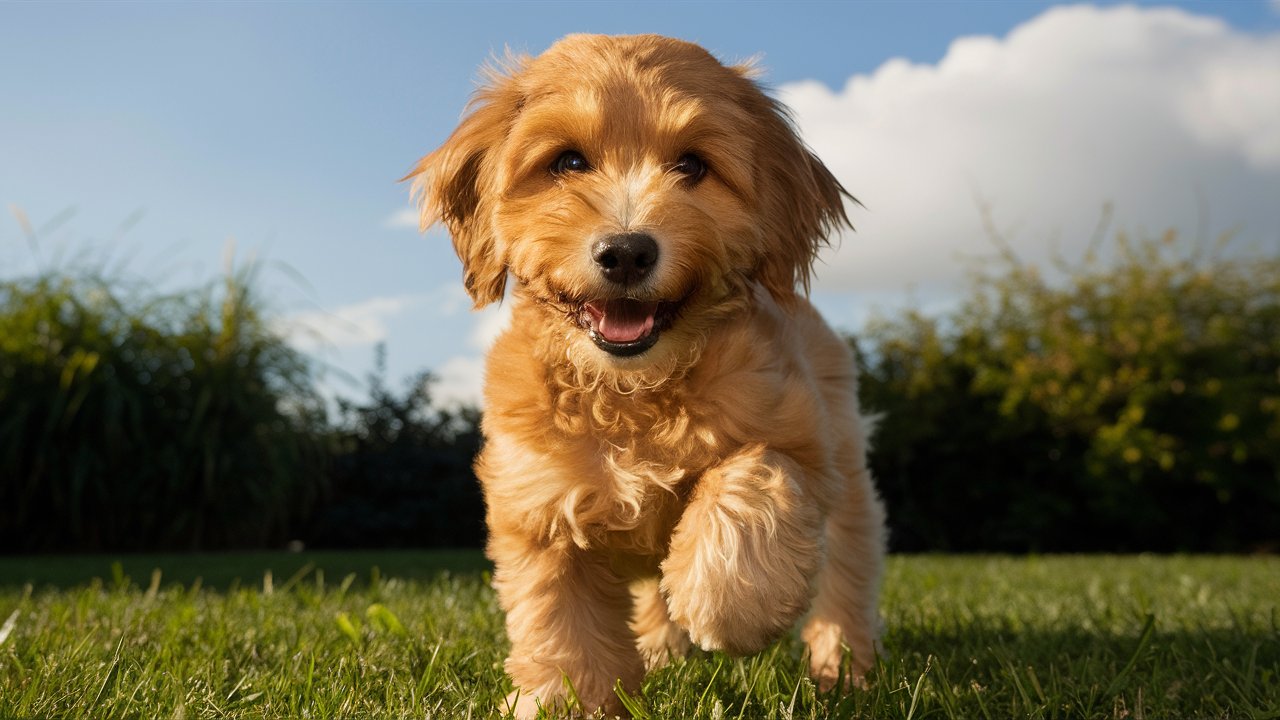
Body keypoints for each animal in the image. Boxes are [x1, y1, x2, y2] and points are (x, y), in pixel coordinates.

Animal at [404, 35, 885, 717]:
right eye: (568, 161)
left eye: (691, 165)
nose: (627, 252)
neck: (632, 395)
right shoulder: (539, 509)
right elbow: (561, 626)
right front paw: (566, 701)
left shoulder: (801, 439)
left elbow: (752, 476)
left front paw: (729, 604)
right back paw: (663, 653)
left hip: (847, 471)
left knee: (847, 571)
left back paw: (841, 669)